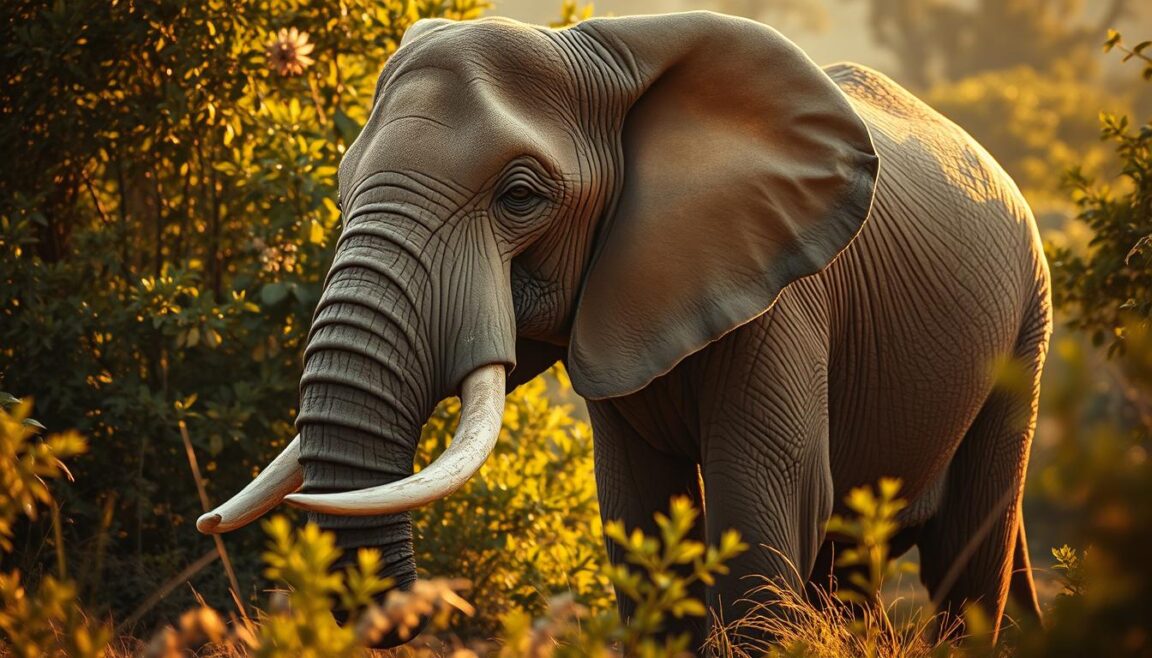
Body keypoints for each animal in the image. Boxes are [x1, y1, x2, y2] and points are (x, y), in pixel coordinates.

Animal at [197, 11, 1051, 650]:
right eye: (342, 190)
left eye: (519, 197)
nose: (440, 608)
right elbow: (639, 516)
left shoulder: (787, 301)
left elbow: (765, 510)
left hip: (1025, 333)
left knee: (966, 559)